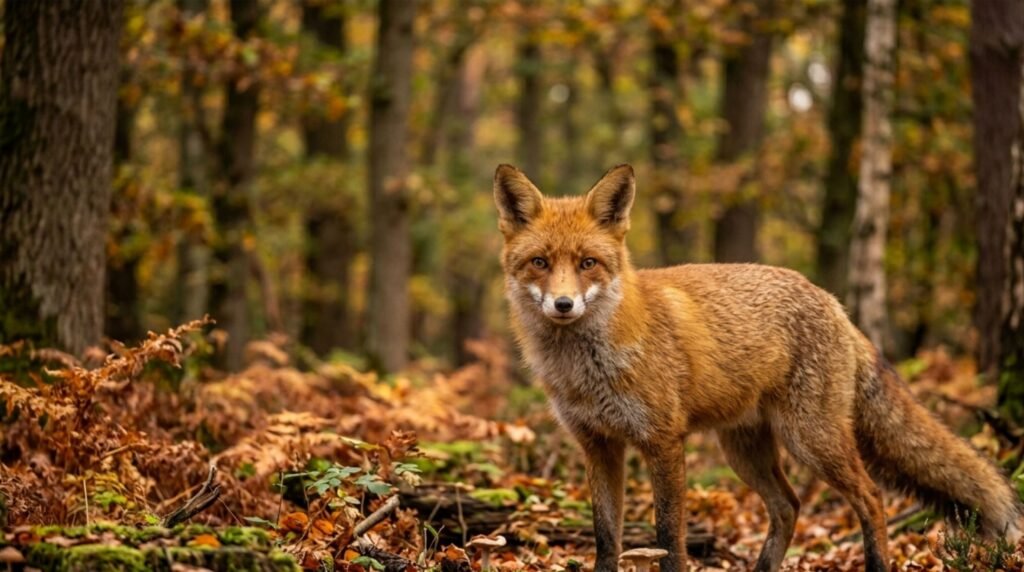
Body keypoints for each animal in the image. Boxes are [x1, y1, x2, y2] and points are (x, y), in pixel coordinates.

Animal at [493, 163, 1023, 572]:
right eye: (540, 262)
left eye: (588, 263)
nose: (563, 305)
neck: (587, 370)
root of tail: (833, 302)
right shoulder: (598, 444)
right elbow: (606, 538)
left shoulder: (663, 441)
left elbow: (668, 538)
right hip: (745, 451)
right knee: (789, 507)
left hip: (812, 440)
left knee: (870, 498)